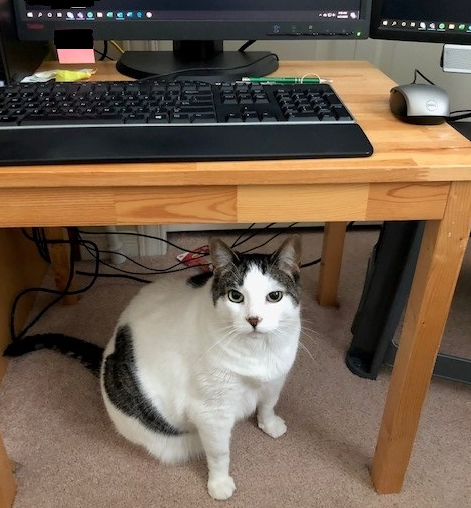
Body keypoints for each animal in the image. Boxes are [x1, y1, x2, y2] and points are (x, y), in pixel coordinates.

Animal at [5, 237, 302, 500]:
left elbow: (268, 403)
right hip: (168, 438)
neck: (259, 355)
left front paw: (269, 423)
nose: (254, 319)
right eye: (235, 296)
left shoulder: (277, 377)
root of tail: (107, 355)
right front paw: (219, 483)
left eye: (274, 296)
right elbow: (219, 453)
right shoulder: (210, 413)